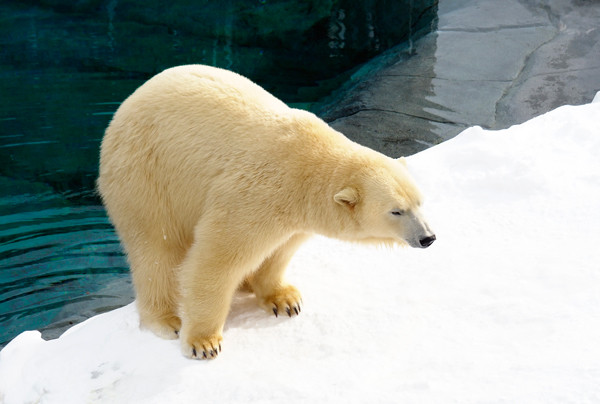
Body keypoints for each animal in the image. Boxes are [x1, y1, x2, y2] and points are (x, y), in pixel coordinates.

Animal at [98, 64, 436, 360]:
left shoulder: (294, 216)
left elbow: (279, 250)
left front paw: (284, 299)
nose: (428, 238)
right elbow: (215, 262)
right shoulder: (254, 194)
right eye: (396, 211)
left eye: (420, 202)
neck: (307, 169)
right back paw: (166, 319)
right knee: (155, 248)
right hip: (145, 174)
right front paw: (204, 342)